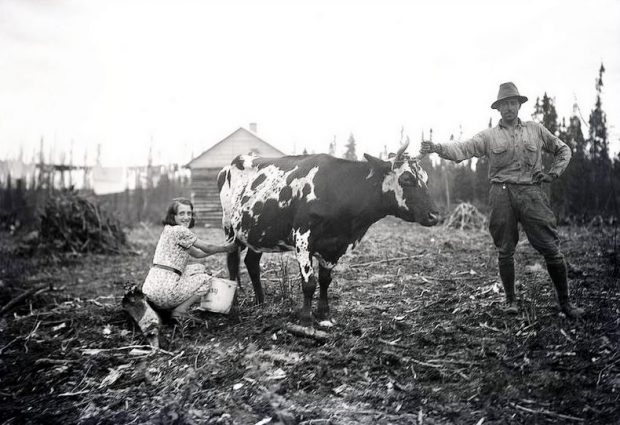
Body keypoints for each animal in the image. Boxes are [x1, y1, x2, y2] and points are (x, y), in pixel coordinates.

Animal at [218, 139, 440, 324]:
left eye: (427, 179)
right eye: (406, 178)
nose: (434, 215)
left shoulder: (335, 245)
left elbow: (325, 280)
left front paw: (324, 312)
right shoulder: (302, 239)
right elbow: (309, 282)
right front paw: (306, 319)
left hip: (258, 232)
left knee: (251, 263)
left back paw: (261, 302)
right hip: (229, 228)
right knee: (232, 263)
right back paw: (234, 304)